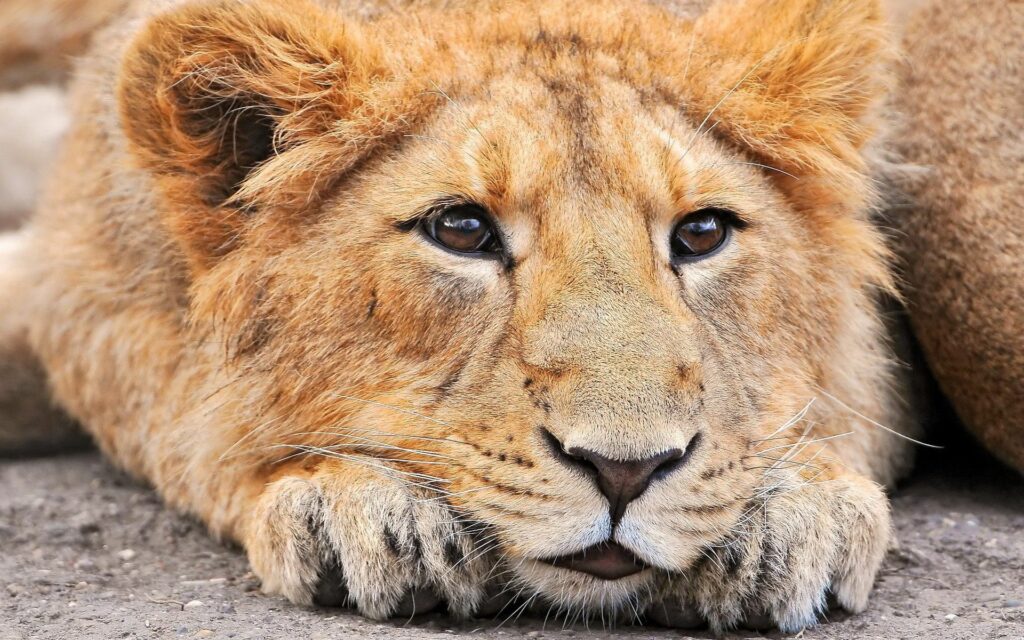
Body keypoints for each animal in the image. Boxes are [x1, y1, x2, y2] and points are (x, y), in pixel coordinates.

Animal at [0, 0, 1020, 633]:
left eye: (701, 233)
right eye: (461, 229)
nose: (623, 472)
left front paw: (788, 514)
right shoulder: (83, 287)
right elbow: (181, 415)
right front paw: (359, 506)